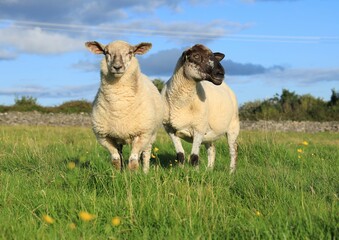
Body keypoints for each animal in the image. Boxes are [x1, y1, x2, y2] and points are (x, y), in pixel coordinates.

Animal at [85, 40, 164, 172]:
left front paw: (133, 174)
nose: (117, 67)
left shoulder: (142, 134)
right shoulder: (104, 136)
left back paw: (145, 171)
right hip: (120, 138)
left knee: (146, 154)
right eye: (106, 52)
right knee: (121, 154)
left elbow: (133, 160)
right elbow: (116, 159)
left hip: (150, 135)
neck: (119, 104)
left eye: (130, 52)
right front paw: (117, 174)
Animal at [161, 43, 239, 172]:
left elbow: (194, 157)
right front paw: (181, 171)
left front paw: (195, 173)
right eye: (196, 56)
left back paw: (231, 172)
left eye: (213, 56)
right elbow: (180, 155)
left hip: (233, 126)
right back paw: (209, 170)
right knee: (212, 150)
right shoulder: (170, 130)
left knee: (233, 150)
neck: (182, 103)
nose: (220, 73)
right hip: (210, 133)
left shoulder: (199, 129)